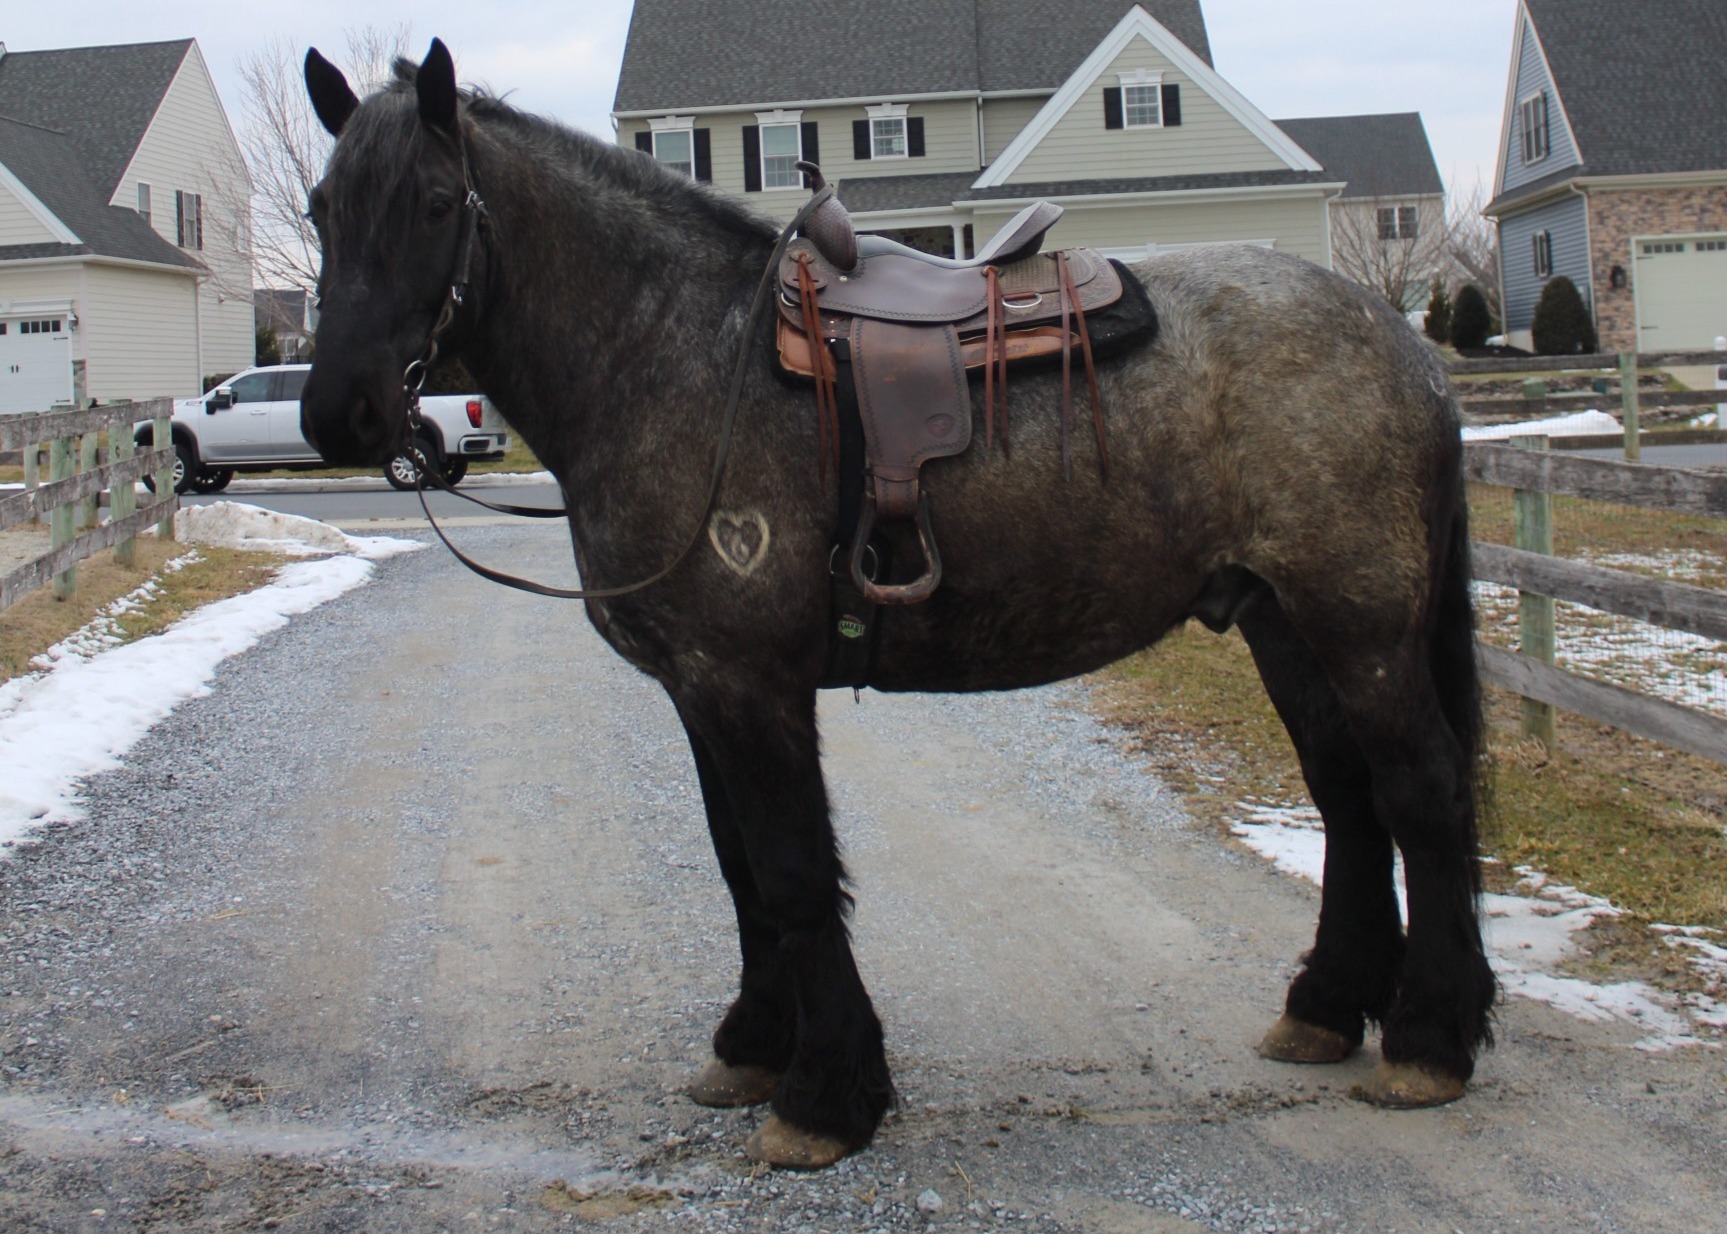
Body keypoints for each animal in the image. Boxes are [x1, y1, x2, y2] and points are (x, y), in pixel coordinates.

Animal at [298, 41, 1496, 1169]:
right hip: (1281, 621)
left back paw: (1429, 1040)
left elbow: (790, 869)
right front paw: (753, 1044)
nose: (339, 414)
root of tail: (1404, 348)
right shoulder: (700, 689)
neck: (675, 354)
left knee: (1421, 791)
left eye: (435, 202)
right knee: (1347, 796)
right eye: (319, 210)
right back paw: (1326, 1008)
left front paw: (824, 1095)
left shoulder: (750, 685)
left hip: (1360, 624)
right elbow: (739, 866)